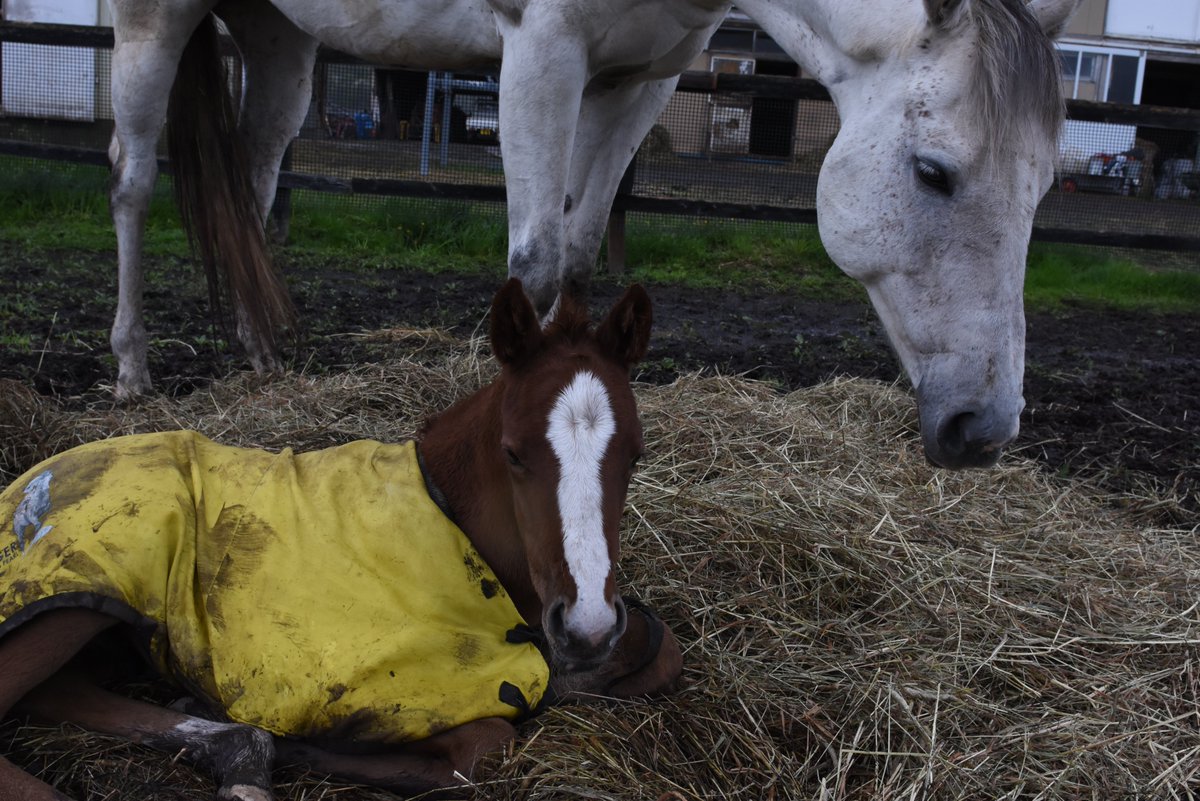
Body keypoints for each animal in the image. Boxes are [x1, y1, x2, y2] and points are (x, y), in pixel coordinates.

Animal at [0, 279, 682, 801]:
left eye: (637, 456)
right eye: (514, 453)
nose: (588, 624)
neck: (447, 521)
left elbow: (661, 648)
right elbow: (485, 744)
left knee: (62, 690)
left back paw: (236, 753)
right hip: (78, 590)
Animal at [105, 0, 1078, 468]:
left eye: (1043, 188)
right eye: (933, 172)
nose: (983, 428)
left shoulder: (639, 78)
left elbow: (576, 256)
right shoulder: (542, 52)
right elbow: (535, 263)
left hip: (278, 33)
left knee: (252, 173)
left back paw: (258, 352)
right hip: (154, 17)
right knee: (132, 177)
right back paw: (131, 370)